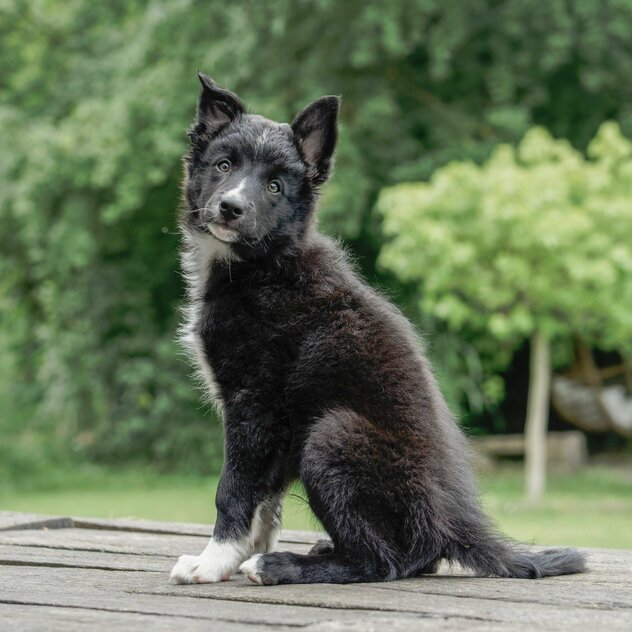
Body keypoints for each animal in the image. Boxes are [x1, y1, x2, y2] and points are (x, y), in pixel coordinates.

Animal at [170, 75, 584, 588]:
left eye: (275, 186)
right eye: (224, 165)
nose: (230, 208)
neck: (264, 264)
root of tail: (451, 525)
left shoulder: (255, 404)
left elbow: (235, 490)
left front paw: (212, 562)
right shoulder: (278, 426)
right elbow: (266, 501)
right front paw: (240, 552)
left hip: (332, 435)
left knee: (384, 562)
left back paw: (283, 566)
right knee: (410, 557)